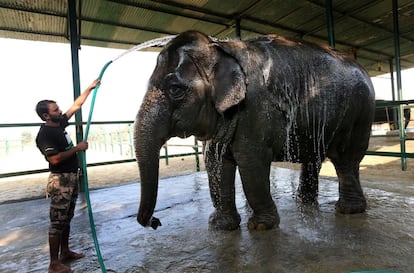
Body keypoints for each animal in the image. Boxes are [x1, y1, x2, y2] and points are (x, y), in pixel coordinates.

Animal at [134, 29, 376, 230]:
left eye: (175, 90)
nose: (155, 222)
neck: (219, 49)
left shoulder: (255, 109)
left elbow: (251, 162)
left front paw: (260, 226)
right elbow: (215, 163)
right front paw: (220, 226)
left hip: (360, 114)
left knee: (346, 159)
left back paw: (348, 210)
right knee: (314, 158)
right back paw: (303, 202)